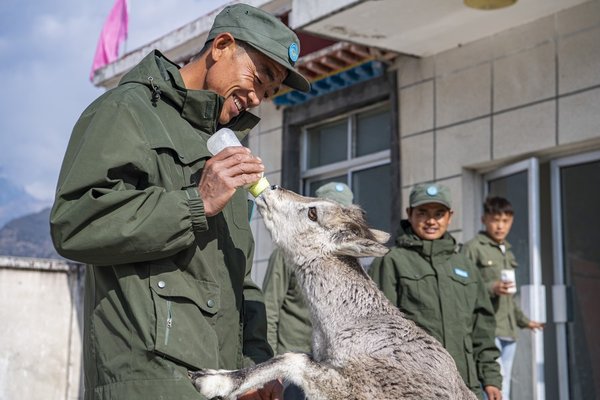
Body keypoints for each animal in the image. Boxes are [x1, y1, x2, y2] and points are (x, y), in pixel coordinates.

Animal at [190, 186, 476, 398]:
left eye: (313, 213)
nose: (271, 189)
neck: (352, 323)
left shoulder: (363, 389)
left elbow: (292, 358)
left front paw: (211, 381)